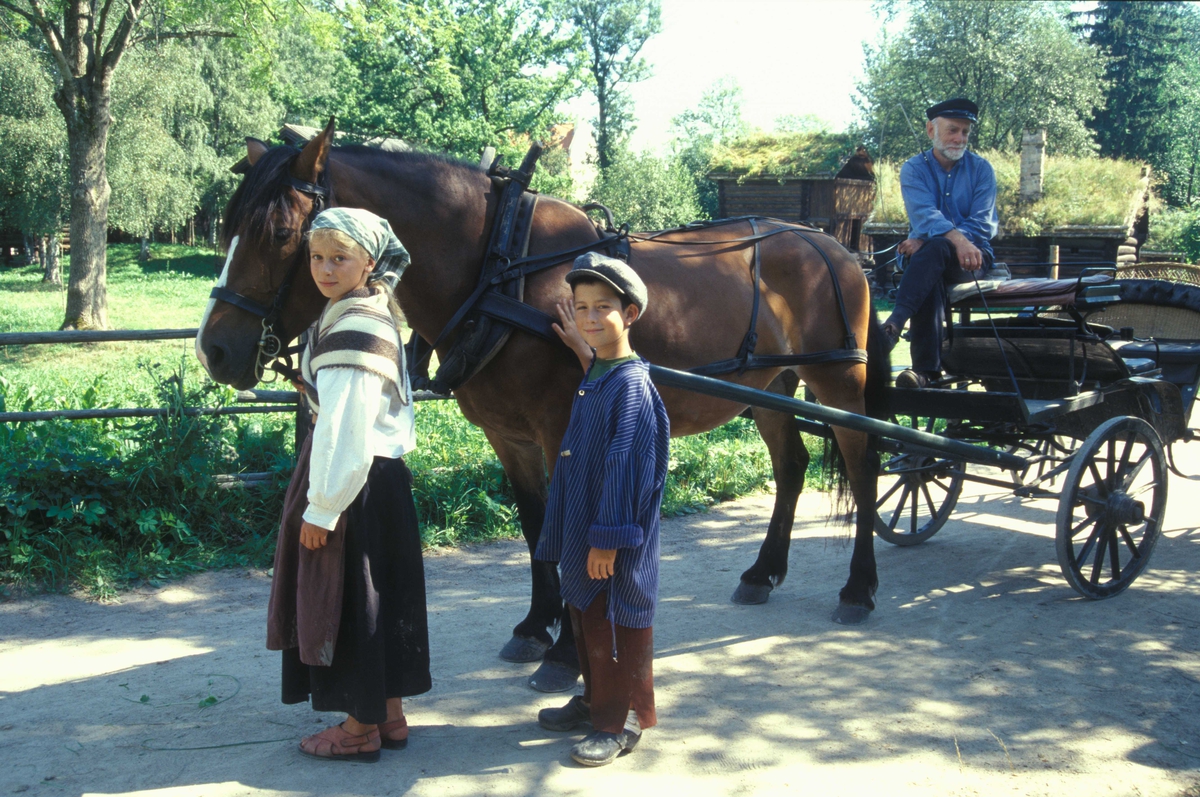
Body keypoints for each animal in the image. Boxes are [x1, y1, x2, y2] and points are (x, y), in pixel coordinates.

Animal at [199, 121, 892, 686]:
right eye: (229, 229)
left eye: (281, 233)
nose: (215, 350)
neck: (503, 272)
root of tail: (834, 244)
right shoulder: (509, 437)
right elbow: (537, 527)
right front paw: (537, 626)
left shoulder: (566, 428)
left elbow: (573, 527)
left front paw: (565, 654)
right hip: (770, 389)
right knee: (792, 466)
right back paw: (762, 572)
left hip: (838, 384)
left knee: (862, 464)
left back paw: (859, 588)